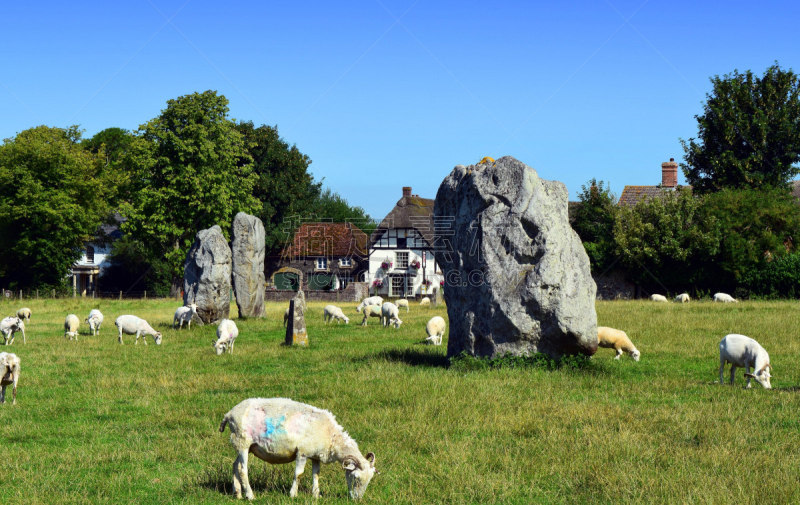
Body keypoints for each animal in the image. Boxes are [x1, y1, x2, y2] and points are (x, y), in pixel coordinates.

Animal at [217, 398, 376, 500]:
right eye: (355, 477)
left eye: (370, 480)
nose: (357, 499)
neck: (331, 436)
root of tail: (229, 414)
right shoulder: (302, 452)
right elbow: (299, 474)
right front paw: (293, 494)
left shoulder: (315, 455)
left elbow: (316, 474)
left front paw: (316, 495)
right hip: (242, 441)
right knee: (243, 469)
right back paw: (250, 496)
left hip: (244, 445)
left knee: (235, 465)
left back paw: (237, 493)